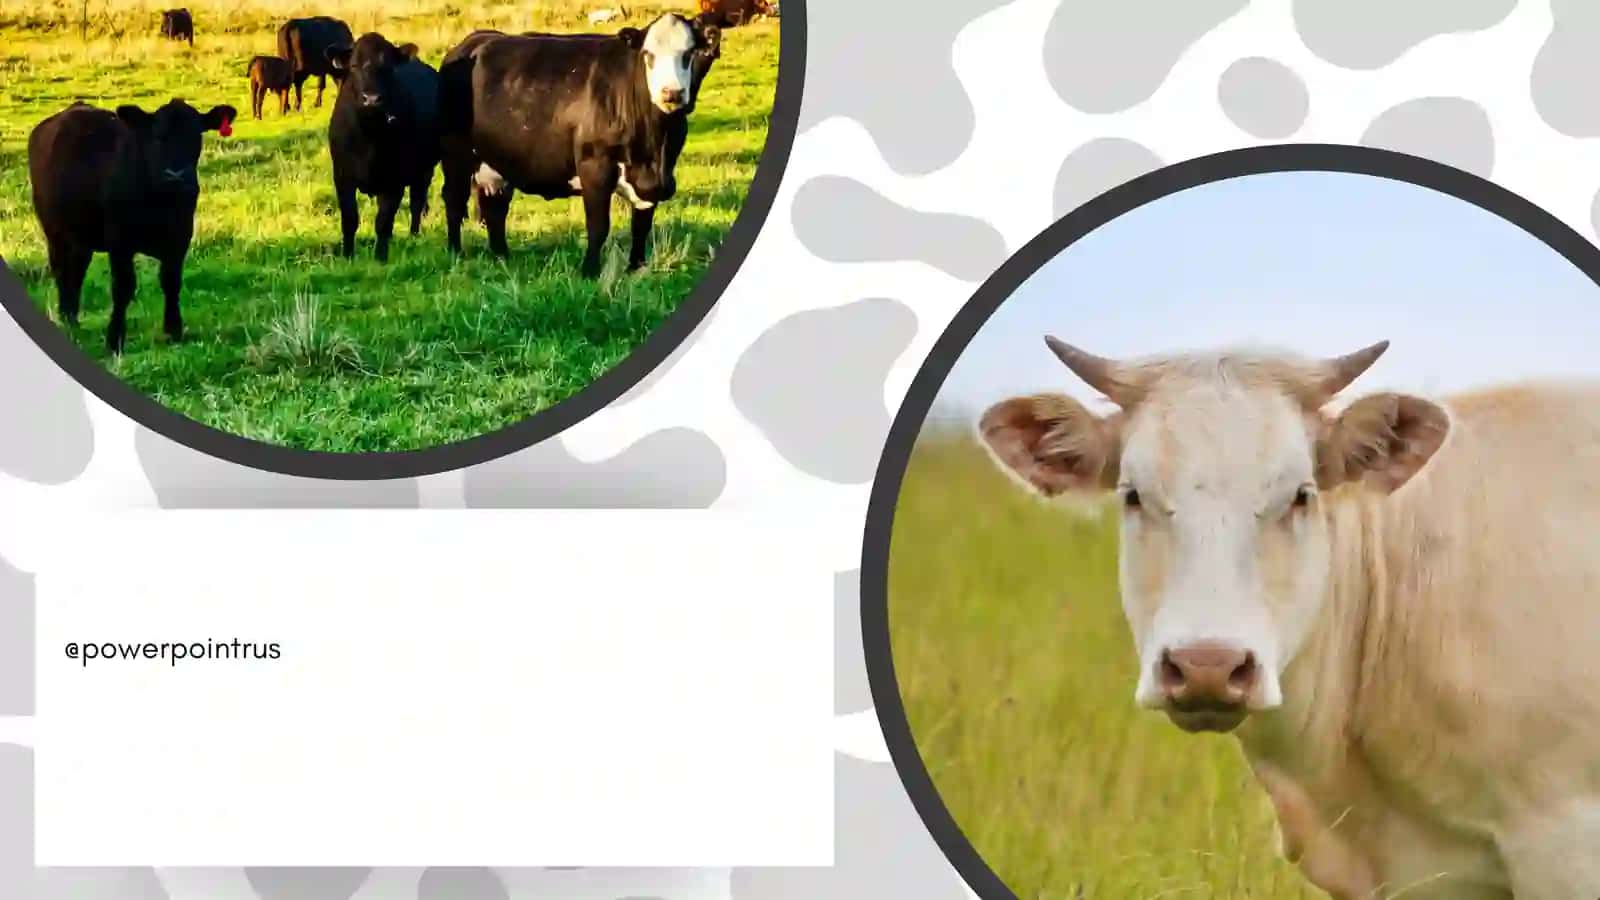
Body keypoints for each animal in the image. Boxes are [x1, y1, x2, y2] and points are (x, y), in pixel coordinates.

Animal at [27, 99, 236, 353]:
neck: (161, 203)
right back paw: (66, 317)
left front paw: (173, 330)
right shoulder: (120, 242)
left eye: (195, 135)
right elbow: (123, 287)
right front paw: (114, 338)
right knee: (61, 269)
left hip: (82, 237)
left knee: (76, 271)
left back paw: (72, 318)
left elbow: (171, 282)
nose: (176, 174)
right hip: (55, 231)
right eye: (158, 136)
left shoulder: (180, 238)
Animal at [324, 33, 441, 262]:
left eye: (388, 68)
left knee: (417, 202)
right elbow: (349, 219)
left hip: (424, 171)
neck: (369, 135)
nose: (371, 99)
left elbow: (384, 222)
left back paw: (413, 236)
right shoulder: (342, 177)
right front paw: (348, 254)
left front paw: (380, 257)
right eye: (353, 65)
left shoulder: (394, 181)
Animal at [438, 12, 721, 277]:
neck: (653, 148)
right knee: (454, 199)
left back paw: (501, 257)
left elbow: (641, 225)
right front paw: (589, 272)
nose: (671, 93)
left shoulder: (655, 177)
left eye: (688, 54)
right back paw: (455, 253)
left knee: (495, 206)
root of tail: (472, 42)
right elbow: (598, 226)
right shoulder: (594, 167)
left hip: (496, 160)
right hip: (455, 154)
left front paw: (636, 268)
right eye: (648, 55)